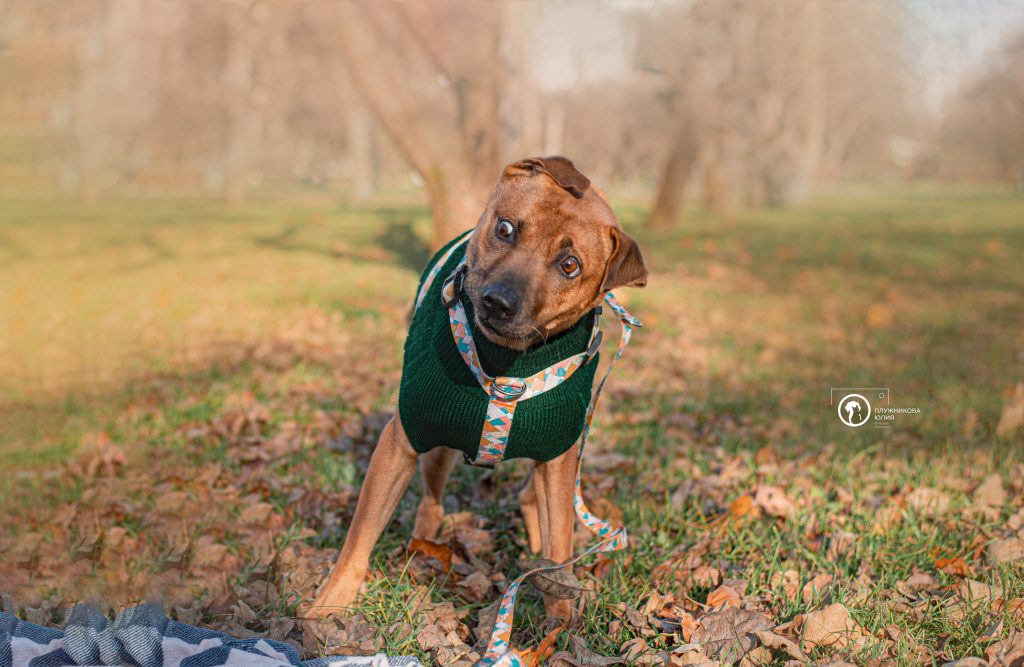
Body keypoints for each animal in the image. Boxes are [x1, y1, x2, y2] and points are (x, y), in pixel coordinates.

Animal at [308, 156, 647, 623]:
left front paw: (560, 621)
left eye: (570, 265)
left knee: (530, 497)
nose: (497, 302)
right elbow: (360, 538)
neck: (506, 369)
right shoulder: (402, 440)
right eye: (505, 228)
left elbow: (560, 547)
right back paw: (422, 547)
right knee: (432, 501)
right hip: (439, 451)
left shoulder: (559, 459)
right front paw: (328, 607)